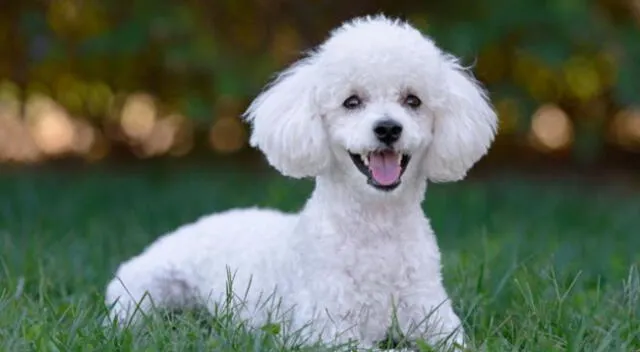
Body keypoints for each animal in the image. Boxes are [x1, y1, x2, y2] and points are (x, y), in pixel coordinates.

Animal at [105, 13, 498, 350]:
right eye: (352, 101)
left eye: (412, 100)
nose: (388, 128)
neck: (377, 228)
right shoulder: (329, 329)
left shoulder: (433, 318)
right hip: (145, 290)